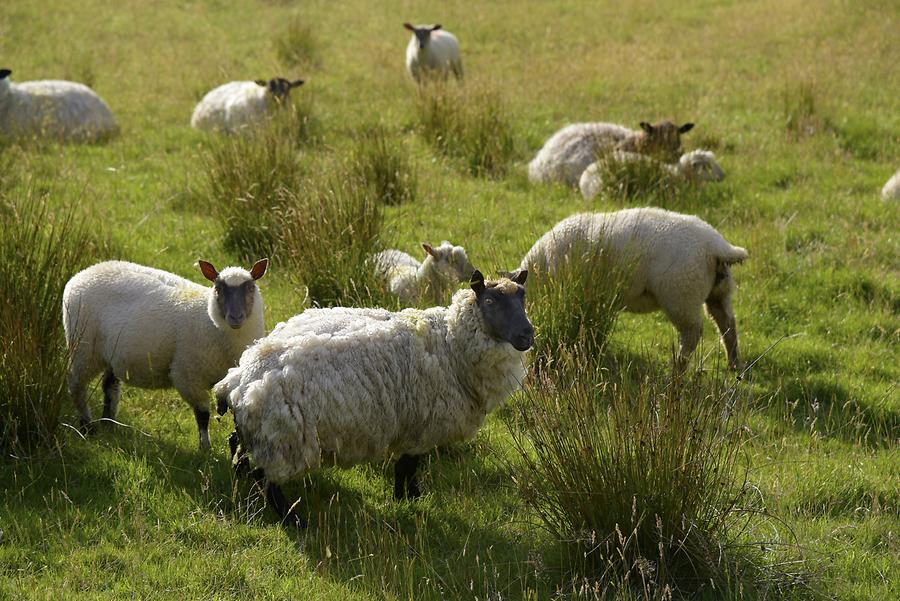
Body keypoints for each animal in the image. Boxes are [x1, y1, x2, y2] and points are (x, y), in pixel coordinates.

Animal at [62, 255, 268, 448]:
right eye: (218, 289)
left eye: (250, 288)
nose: (236, 317)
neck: (209, 322)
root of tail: (84, 273)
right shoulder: (187, 375)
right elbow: (202, 415)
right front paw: (205, 448)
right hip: (83, 348)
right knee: (76, 385)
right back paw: (87, 427)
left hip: (110, 354)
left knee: (109, 386)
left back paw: (109, 424)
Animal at [214, 270, 532, 528]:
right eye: (490, 302)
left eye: (523, 298)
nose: (527, 335)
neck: (449, 342)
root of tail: (239, 379)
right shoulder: (422, 425)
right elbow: (409, 466)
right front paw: (411, 497)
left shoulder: (412, 426)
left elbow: (405, 466)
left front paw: (407, 498)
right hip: (284, 439)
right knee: (266, 479)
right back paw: (293, 520)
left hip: (262, 432)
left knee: (237, 445)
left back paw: (242, 477)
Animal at [520, 210, 744, 370]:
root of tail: (717, 245)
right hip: (718, 290)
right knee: (726, 322)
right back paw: (733, 363)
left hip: (681, 293)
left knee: (692, 332)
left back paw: (678, 367)